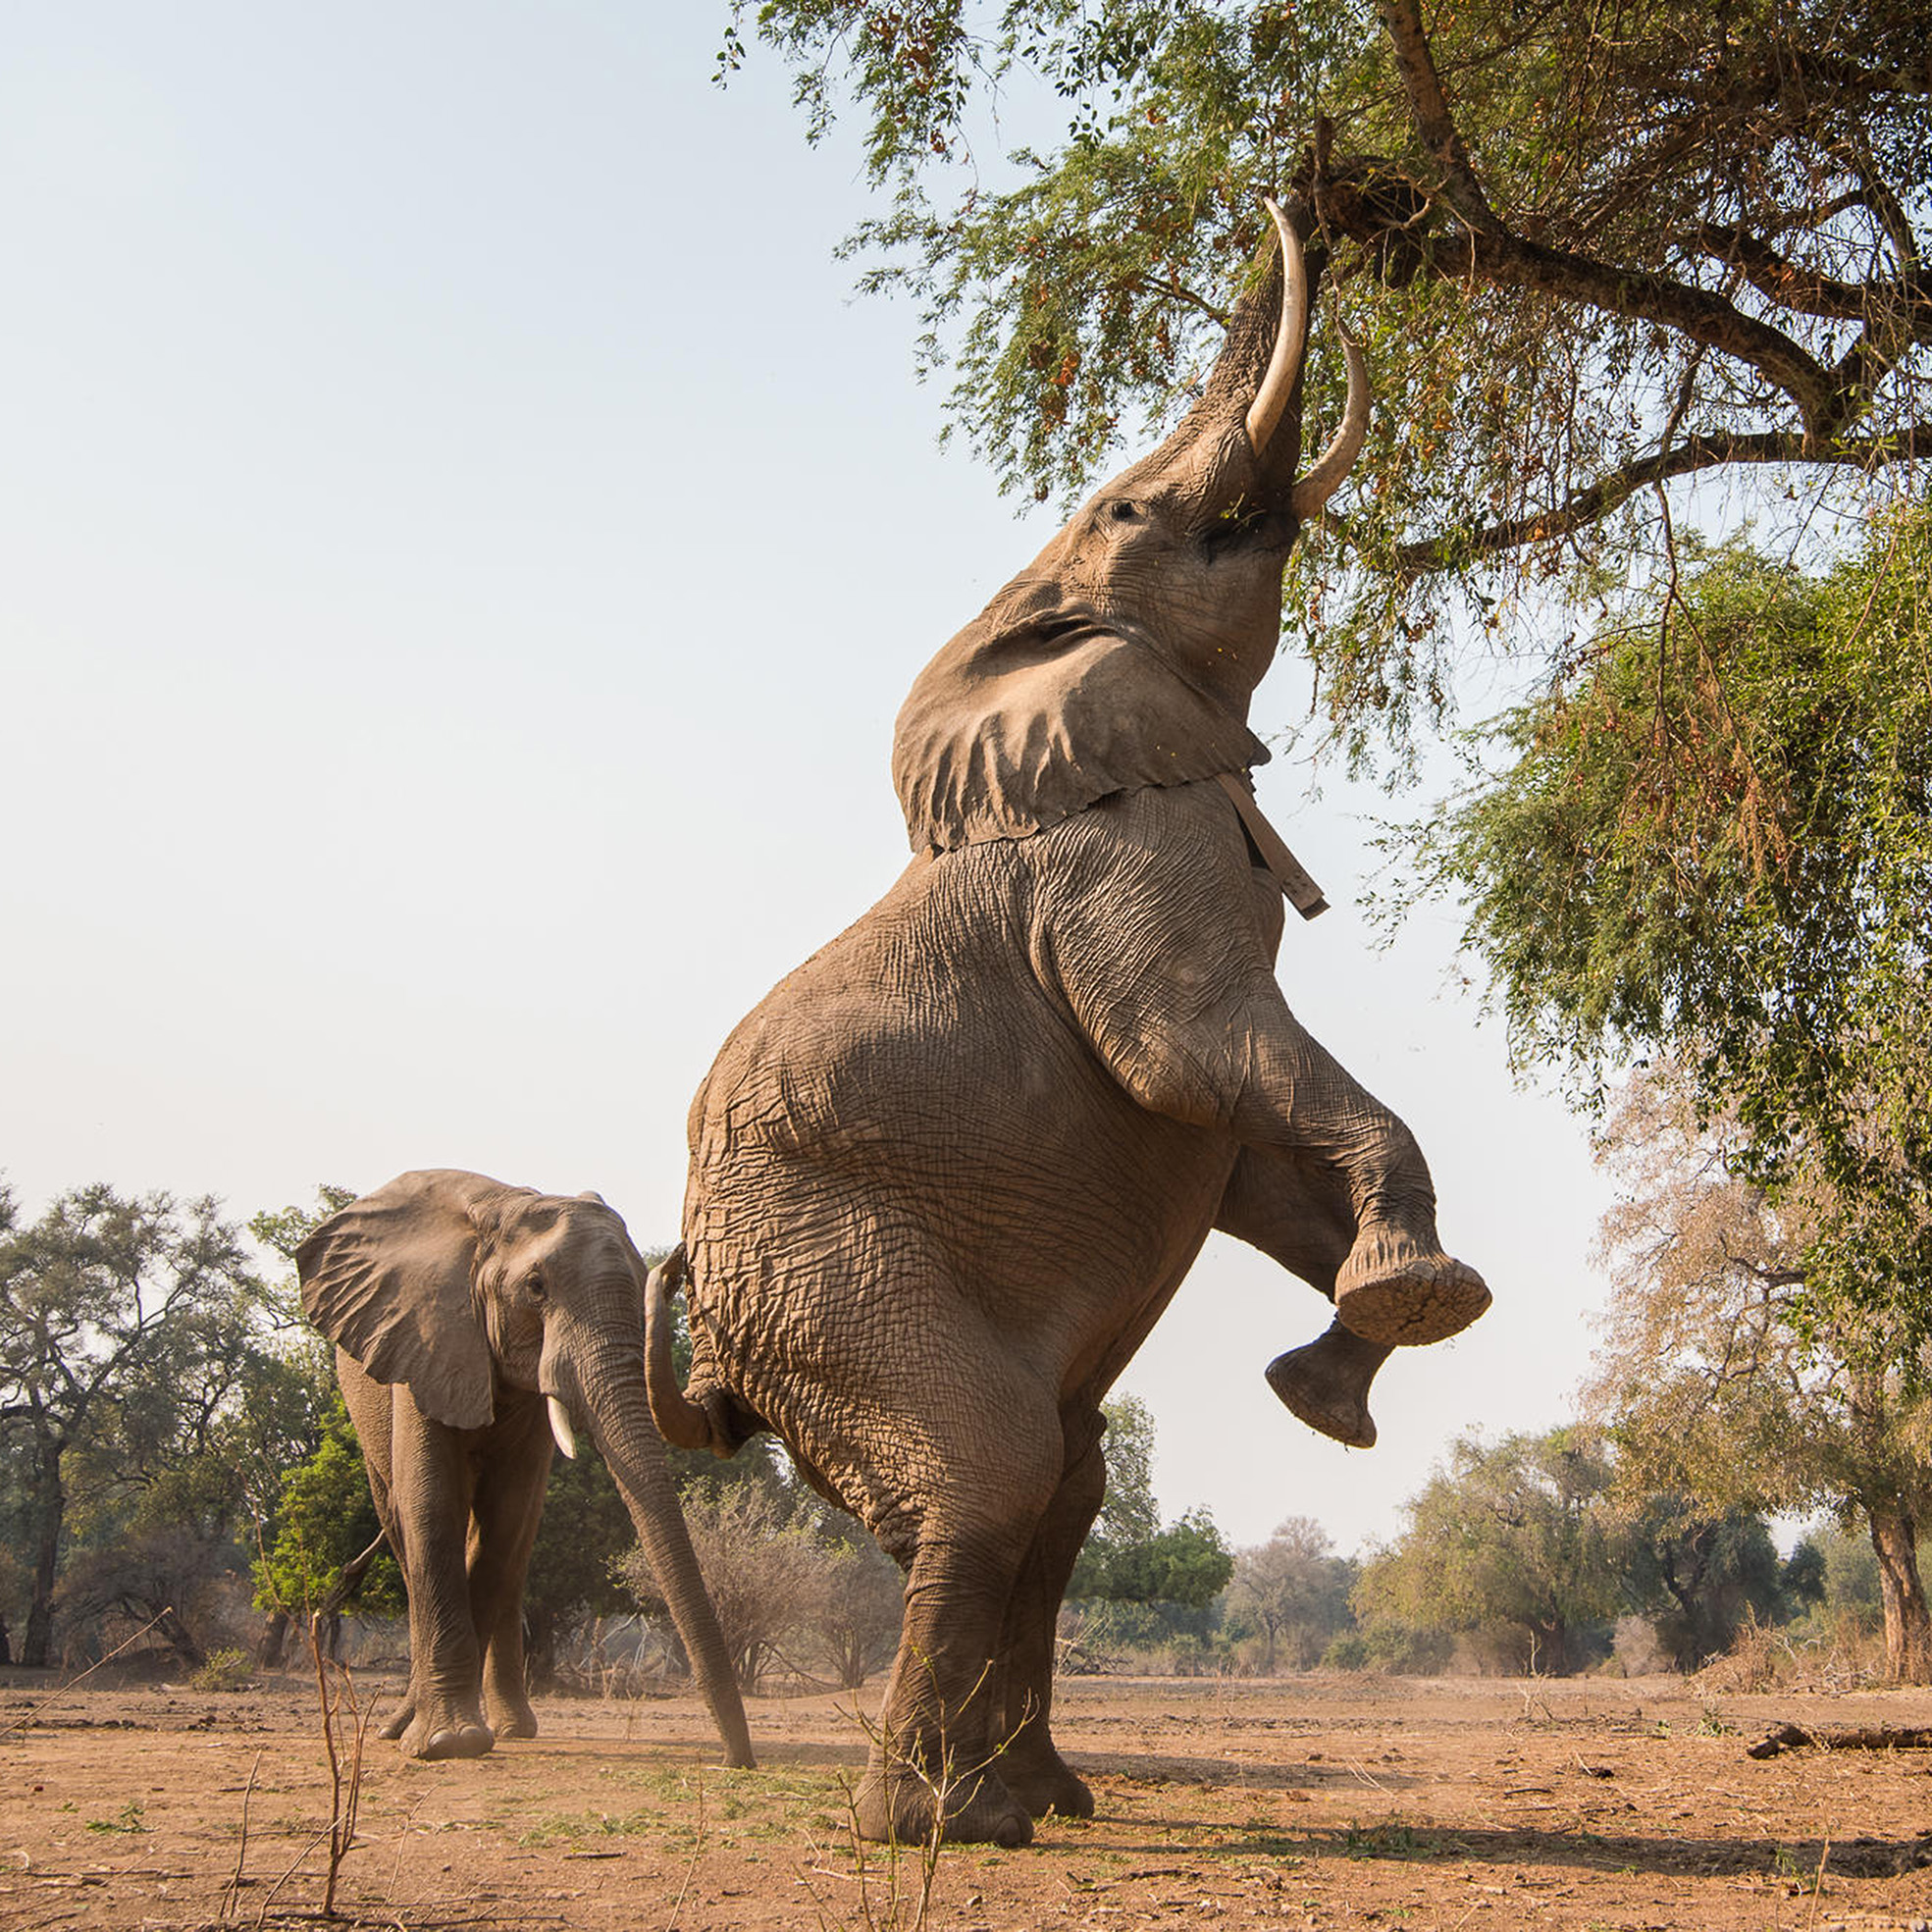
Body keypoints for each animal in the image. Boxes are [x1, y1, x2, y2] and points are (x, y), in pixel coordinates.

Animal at [645, 199, 1476, 1839]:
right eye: (1129, 508)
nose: (1309, 191)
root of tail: (709, 1348)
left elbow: (1240, 1152)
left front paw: (1347, 1361)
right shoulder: (1126, 871)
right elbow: (1195, 1057)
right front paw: (1410, 1303)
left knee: (1057, 1487)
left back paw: (1036, 1799)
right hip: (819, 1272)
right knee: (995, 1466)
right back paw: (937, 1826)